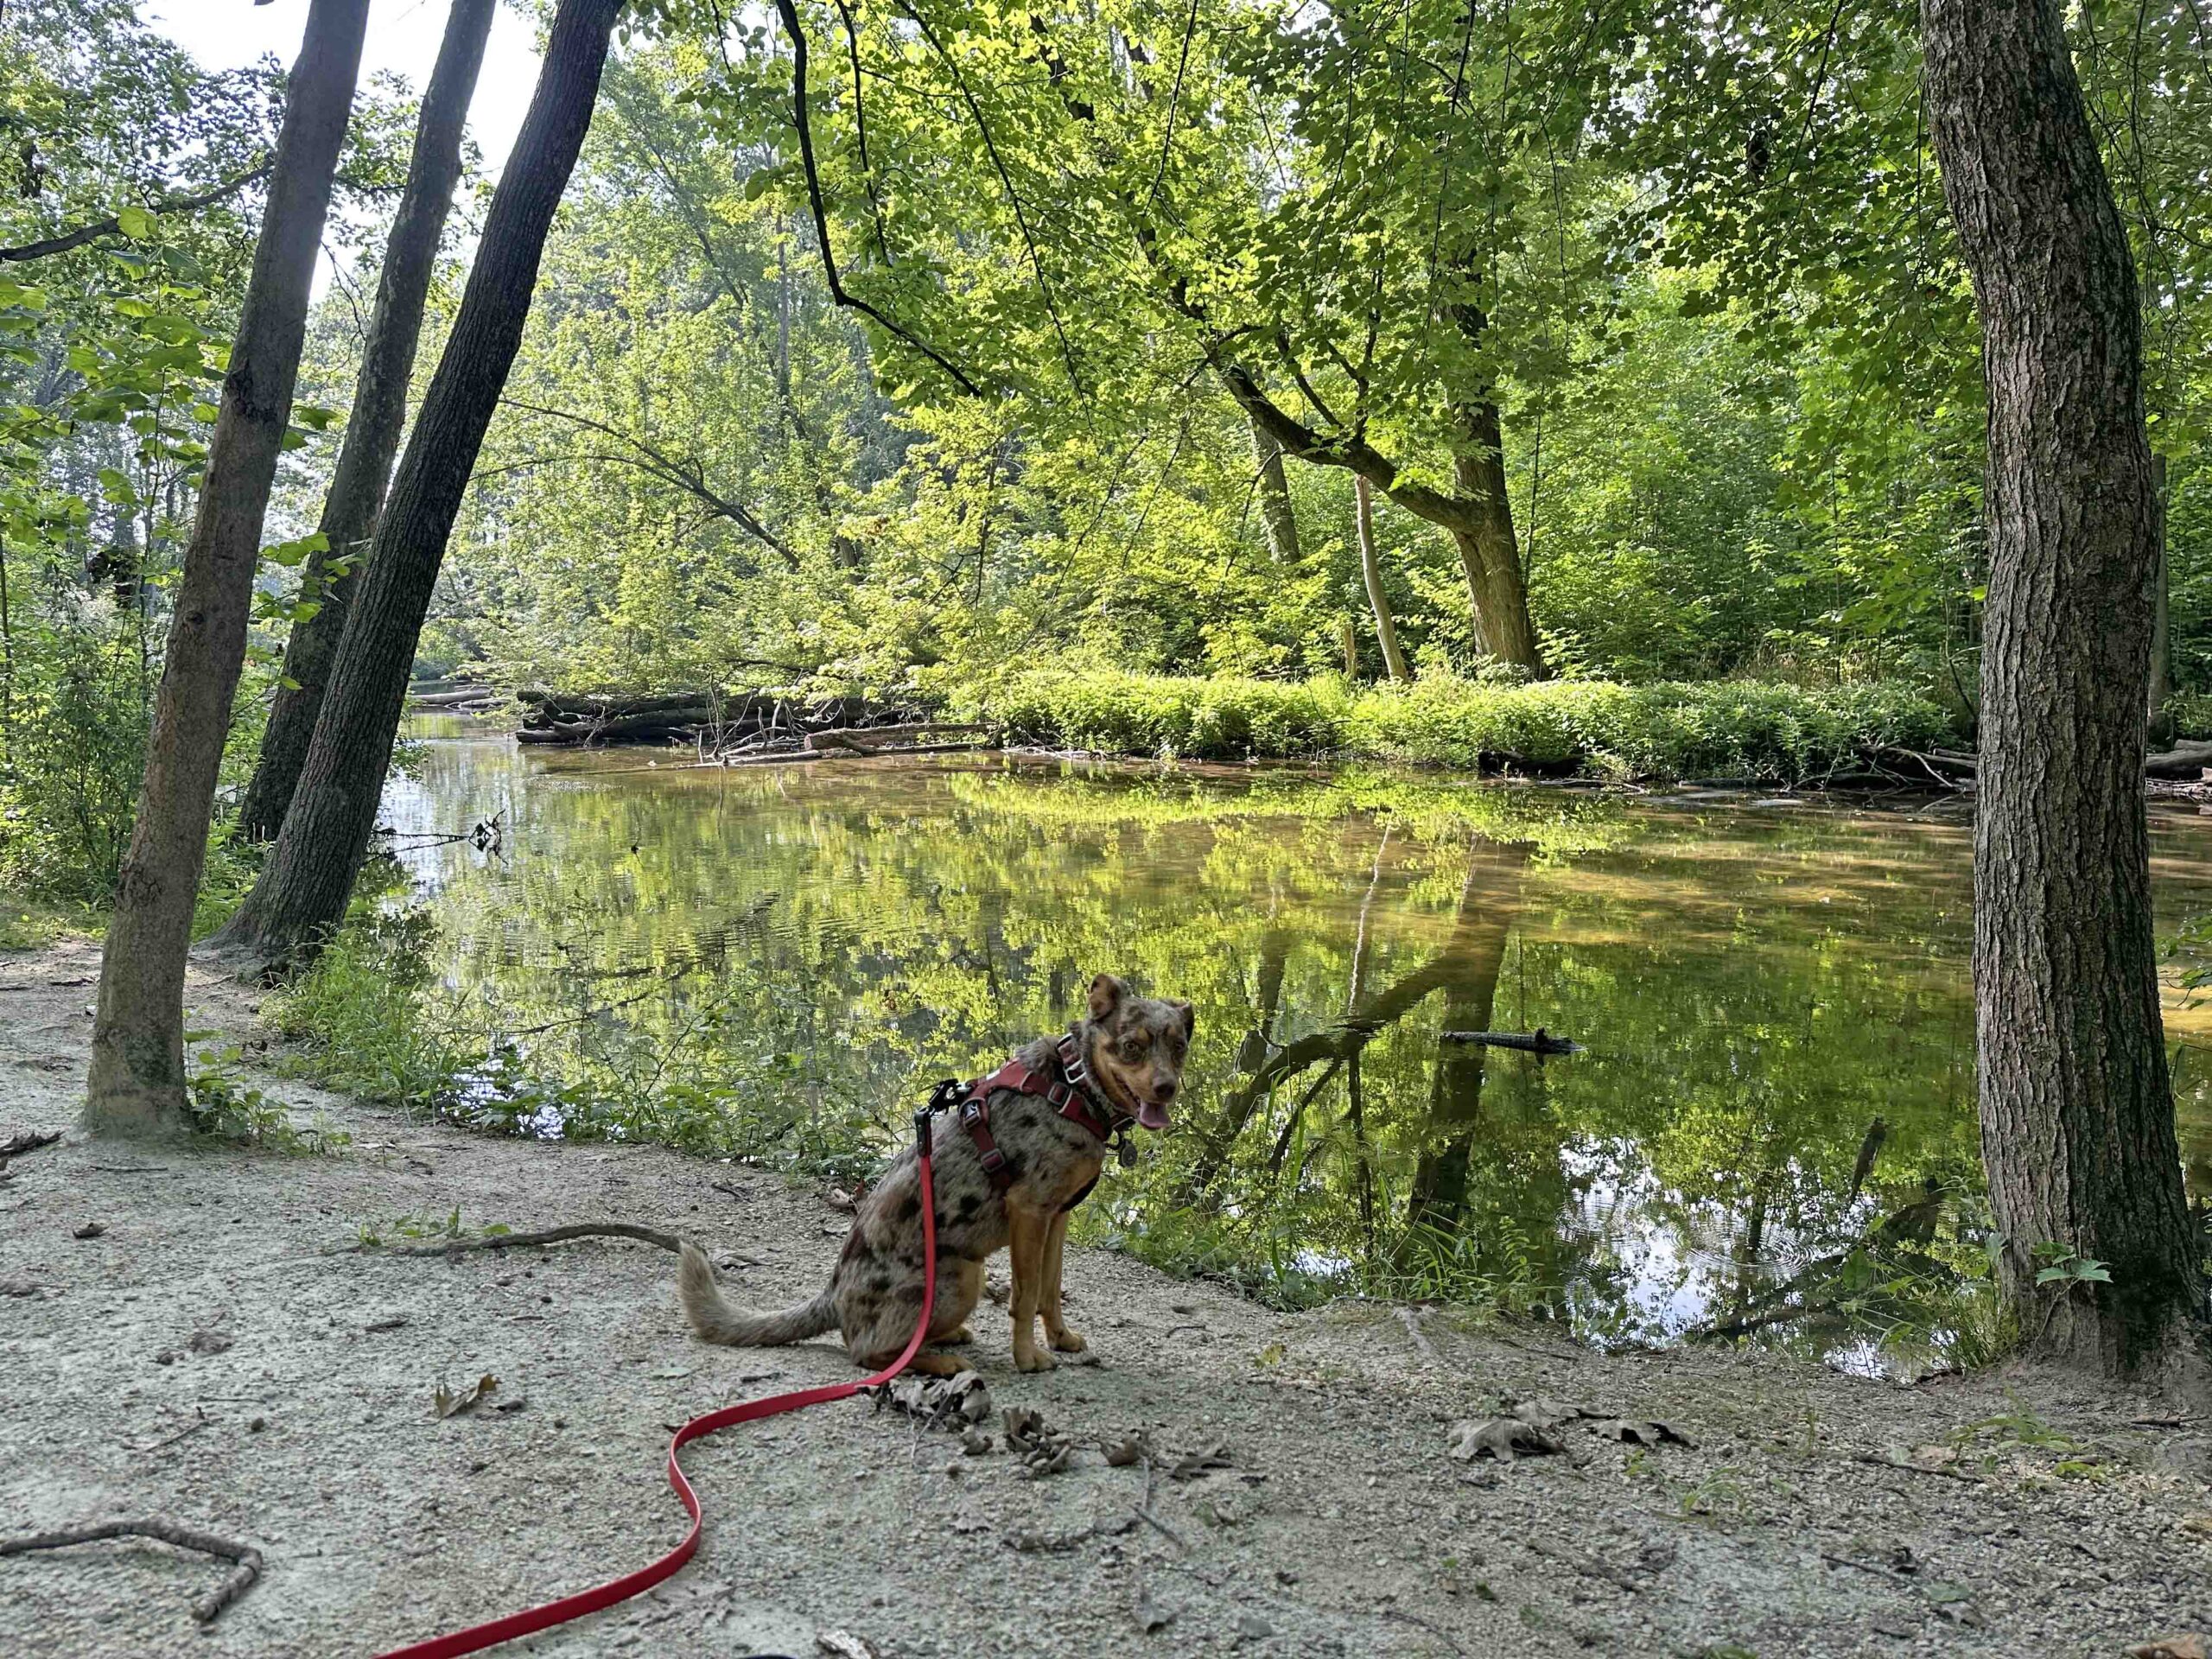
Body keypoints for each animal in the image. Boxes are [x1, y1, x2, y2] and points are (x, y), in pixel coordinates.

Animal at [681, 973, 1194, 1380]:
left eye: (1179, 1046)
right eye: (1131, 1046)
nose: (1167, 1088)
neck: (1073, 1084)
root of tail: (833, 1297)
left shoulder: (1057, 1217)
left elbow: (1050, 1291)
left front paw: (1061, 1338)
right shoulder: (1029, 1213)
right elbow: (1026, 1296)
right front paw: (1028, 1357)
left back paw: (944, 1339)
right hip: (962, 1275)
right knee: (868, 1352)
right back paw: (939, 1360)